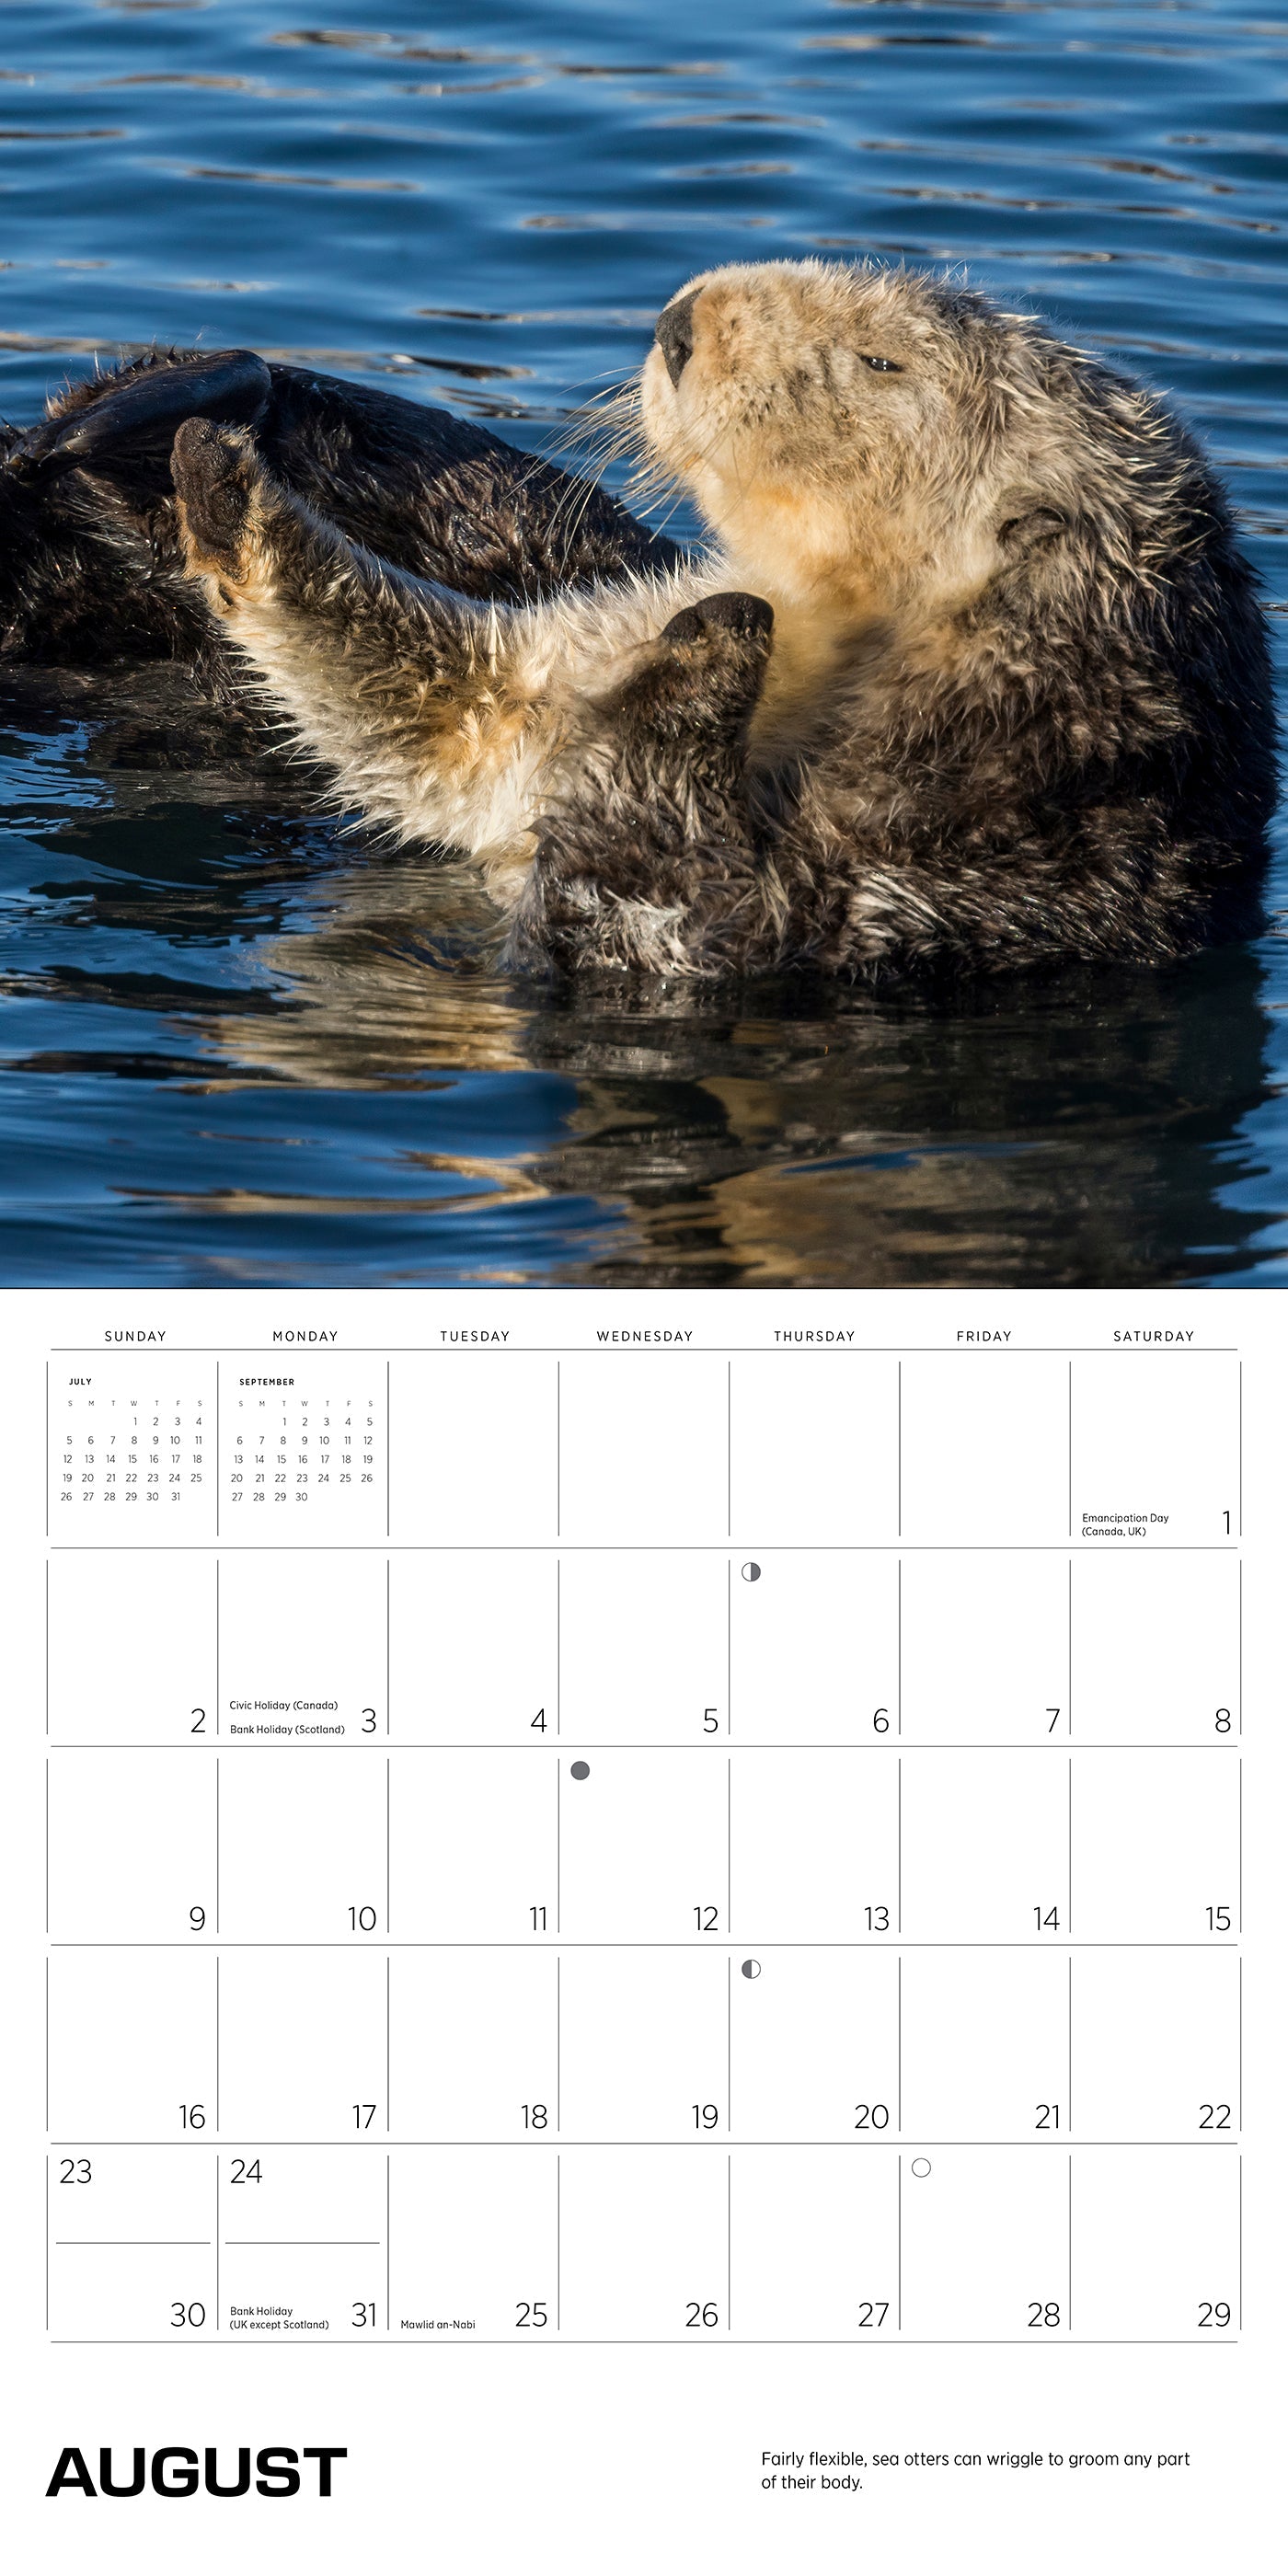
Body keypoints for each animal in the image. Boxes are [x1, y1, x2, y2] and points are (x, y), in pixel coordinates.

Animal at [0, 262, 1275, 977]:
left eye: (879, 360)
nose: (676, 321)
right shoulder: (564, 663)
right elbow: (451, 693)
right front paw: (227, 491)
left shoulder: (953, 882)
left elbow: (654, 909)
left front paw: (714, 645)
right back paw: (177, 411)